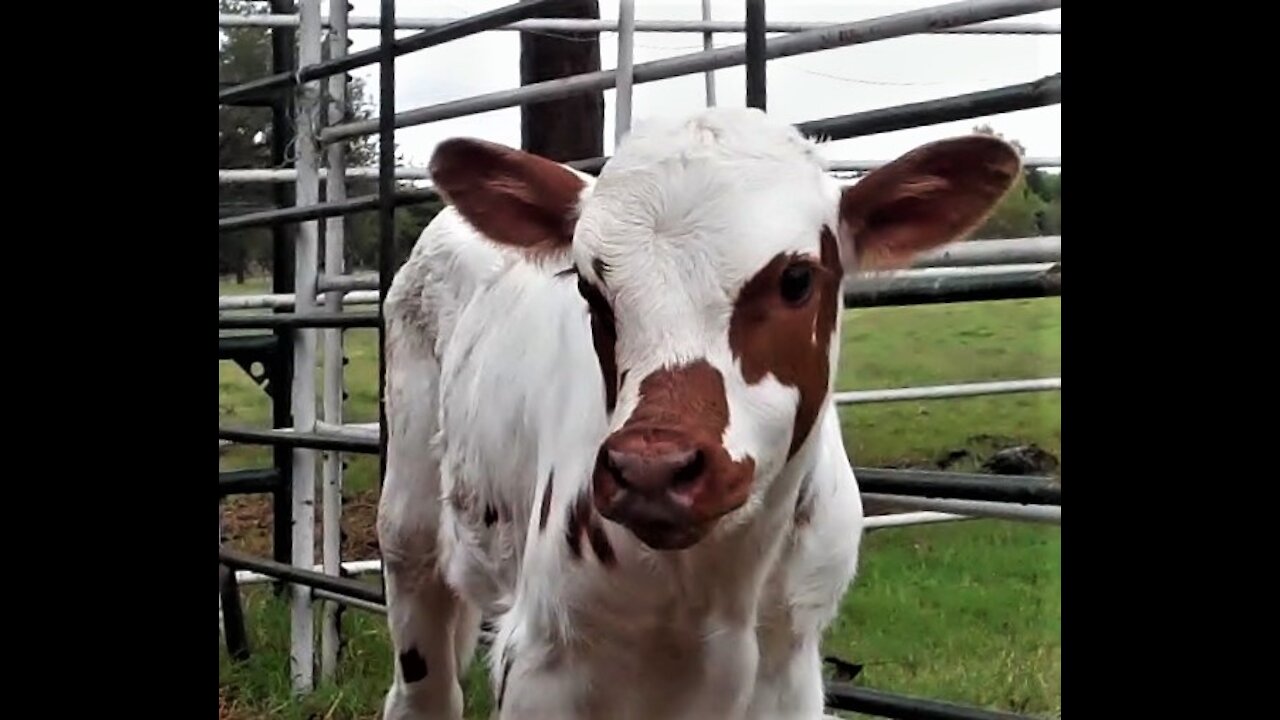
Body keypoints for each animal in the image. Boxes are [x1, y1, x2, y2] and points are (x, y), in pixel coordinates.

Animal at [373, 106, 1018, 717]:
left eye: (797, 278)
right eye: (589, 289)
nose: (652, 471)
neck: (719, 583)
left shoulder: (788, 668)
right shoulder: (540, 663)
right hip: (409, 528)